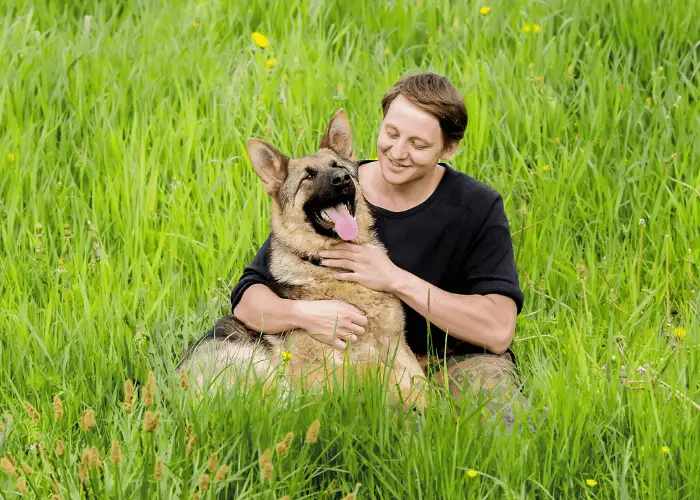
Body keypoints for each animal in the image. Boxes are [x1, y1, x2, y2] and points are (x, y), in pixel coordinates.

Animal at [175, 109, 426, 410]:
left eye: (337, 166)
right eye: (308, 176)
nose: (342, 179)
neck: (329, 267)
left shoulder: (396, 346)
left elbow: (418, 378)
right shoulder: (319, 371)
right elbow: (375, 370)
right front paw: (414, 401)